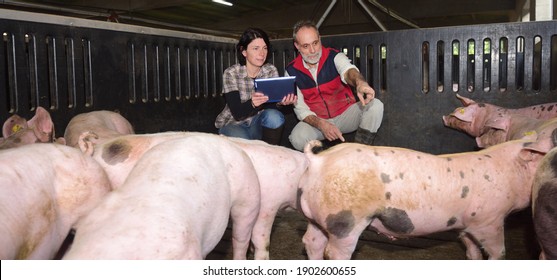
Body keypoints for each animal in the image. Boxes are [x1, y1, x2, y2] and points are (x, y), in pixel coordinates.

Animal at [298, 139, 544, 260]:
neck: (509, 172)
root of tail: (318, 160)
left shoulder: (465, 224)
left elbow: (472, 251)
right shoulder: (489, 220)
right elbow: (498, 253)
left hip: (317, 218)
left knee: (311, 242)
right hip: (346, 219)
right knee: (335, 253)